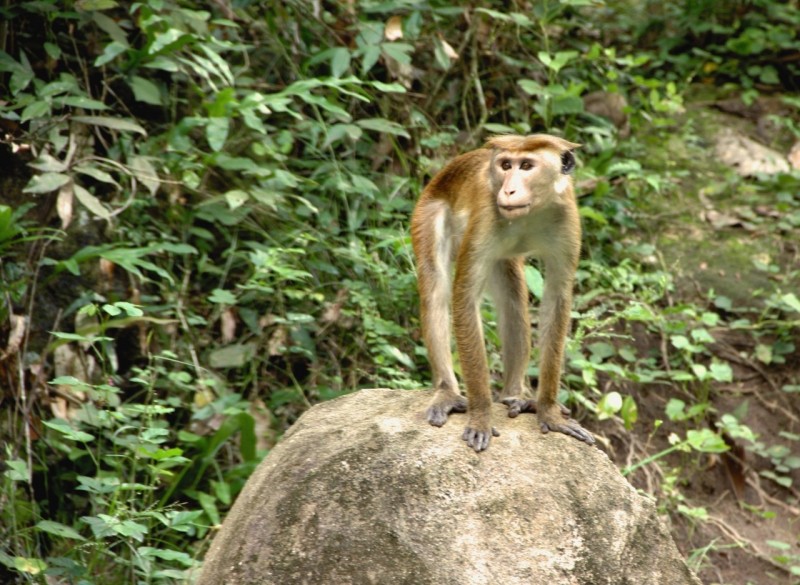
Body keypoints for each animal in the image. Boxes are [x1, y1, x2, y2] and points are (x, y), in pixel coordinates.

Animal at [412, 133, 592, 452]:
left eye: (527, 166)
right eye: (506, 165)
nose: (508, 190)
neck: (532, 211)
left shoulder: (567, 217)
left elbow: (557, 298)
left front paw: (548, 410)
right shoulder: (485, 215)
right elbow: (463, 298)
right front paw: (482, 415)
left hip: (503, 257)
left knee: (512, 301)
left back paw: (516, 395)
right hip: (428, 211)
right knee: (435, 290)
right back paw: (447, 392)